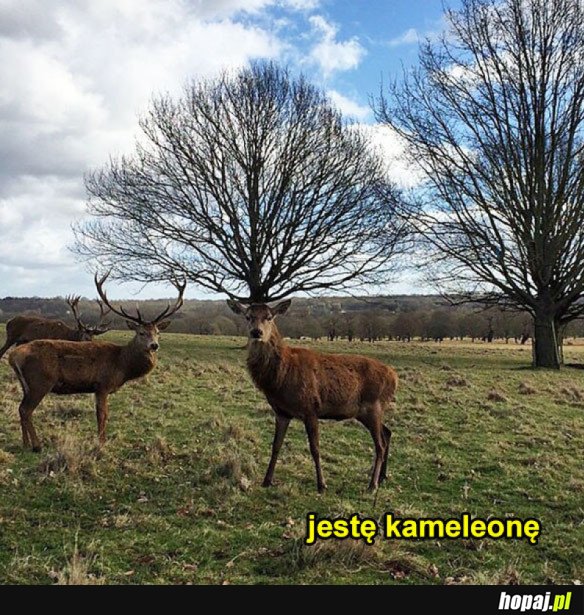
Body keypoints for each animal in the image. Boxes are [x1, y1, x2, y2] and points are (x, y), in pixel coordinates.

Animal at [8, 274, 185, 452]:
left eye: (158, 332)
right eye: (141, 332)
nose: (154, 345)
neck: (122, 365)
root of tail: (13, 356)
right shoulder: (102, 385)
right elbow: (102, 415)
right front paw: (101, 444)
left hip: (27, 385)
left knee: (21, 408)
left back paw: (25, 443)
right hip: (41, 381)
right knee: (26, 410)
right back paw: (37, 445)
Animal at [227, 300, 396, 494]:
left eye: (269, 317)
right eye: (248, 316)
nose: (256, 332)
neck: (281, 377)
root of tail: (394, 378)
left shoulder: (310, 408)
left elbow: (315, 448)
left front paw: (322, 485)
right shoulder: (282, 412)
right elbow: (276, 445)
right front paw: (267, 480)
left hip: (373, 406)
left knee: (380, 445)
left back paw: (372, 485)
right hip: (367, 412)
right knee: (387, 433)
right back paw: (382, 477)